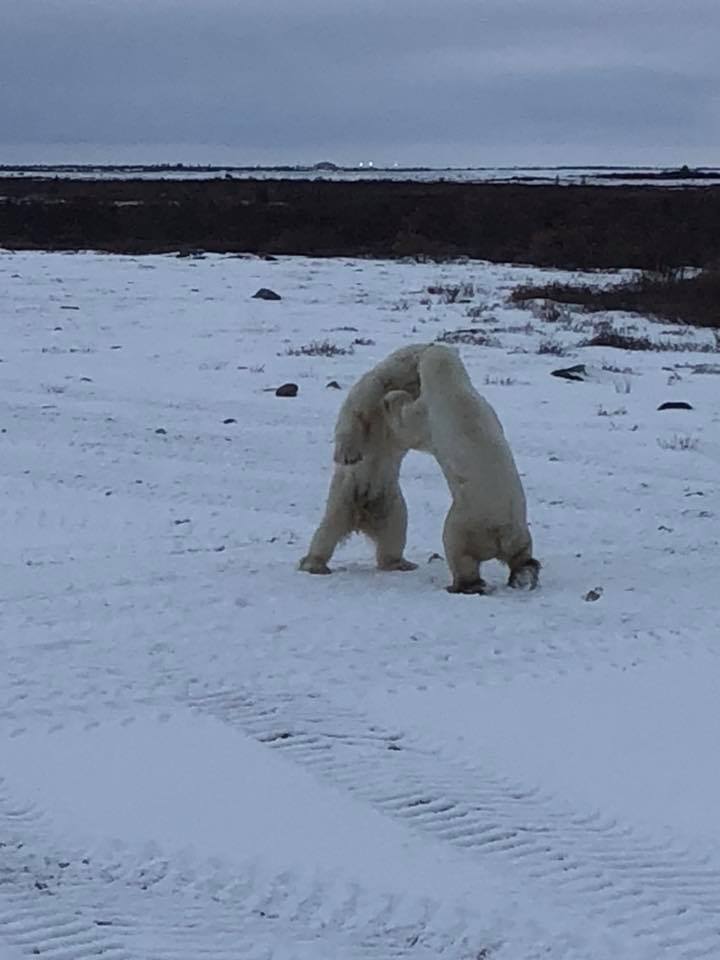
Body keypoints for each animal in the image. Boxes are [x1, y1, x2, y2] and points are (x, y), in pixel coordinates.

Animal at [299, 343, 432, 575]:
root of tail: (361, 516)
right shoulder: (373, 387)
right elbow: (354, 412)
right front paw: (348, 455)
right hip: (343, 496)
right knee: (328, 529)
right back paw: (314, 564)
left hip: (391, 502)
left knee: (395, 531)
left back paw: (400, 563)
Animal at [383, 344, 540, 594]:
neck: (452, 384)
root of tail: (500, 533)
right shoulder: (488, 407)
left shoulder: (428, 414)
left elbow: (408, 428)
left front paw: (391, 398)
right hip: (519, 531)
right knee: (521, 553)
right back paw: (525, 574)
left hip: (465, 522)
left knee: (458, 550)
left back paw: (462, 585)